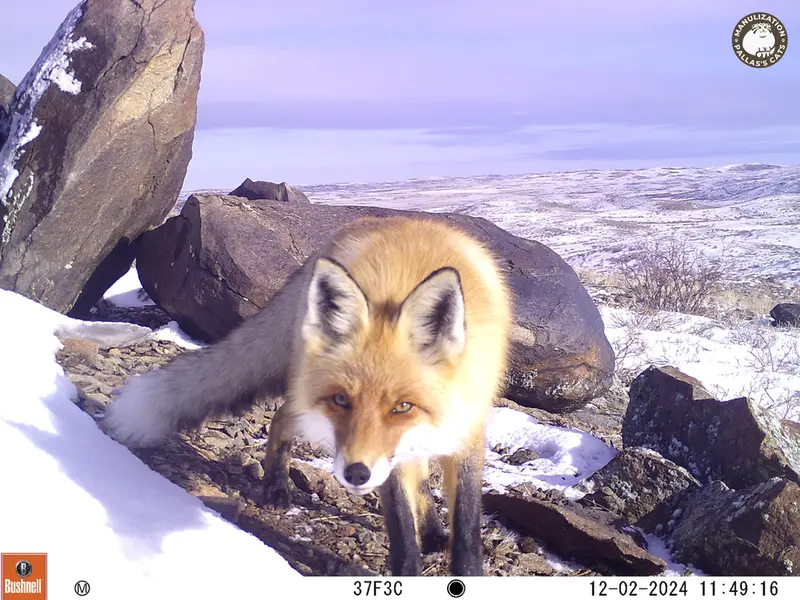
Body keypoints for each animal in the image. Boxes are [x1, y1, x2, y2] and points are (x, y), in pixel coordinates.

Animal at [102, 215, 512, 576]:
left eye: (402, 407)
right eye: (342, 400)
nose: (357, 473)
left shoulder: (466, 428)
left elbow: (466, 527)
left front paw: (463, 566)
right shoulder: (385, 458)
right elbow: (400, 525)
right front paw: (408, 570)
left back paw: (431, 529)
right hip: (304, 389)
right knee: (282, 416)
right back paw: (275, 487)